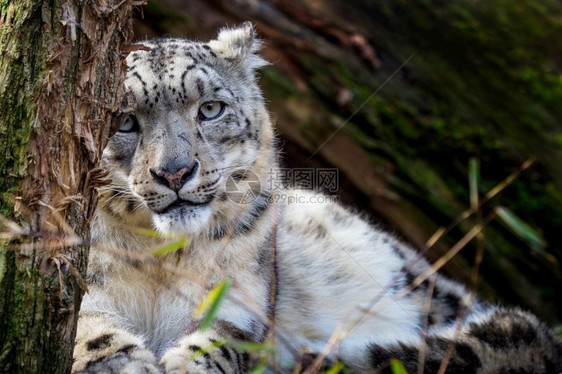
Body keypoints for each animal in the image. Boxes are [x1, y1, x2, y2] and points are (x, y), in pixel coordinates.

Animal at [71, 23, 560, 374]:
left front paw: (189, 366)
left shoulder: (241, 293)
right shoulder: (81, 276)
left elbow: (224, 340)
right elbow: (89, 331)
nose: (175, 172)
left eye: (210, 109)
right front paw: (125, 365)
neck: (162, 256)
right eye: (124, 121)